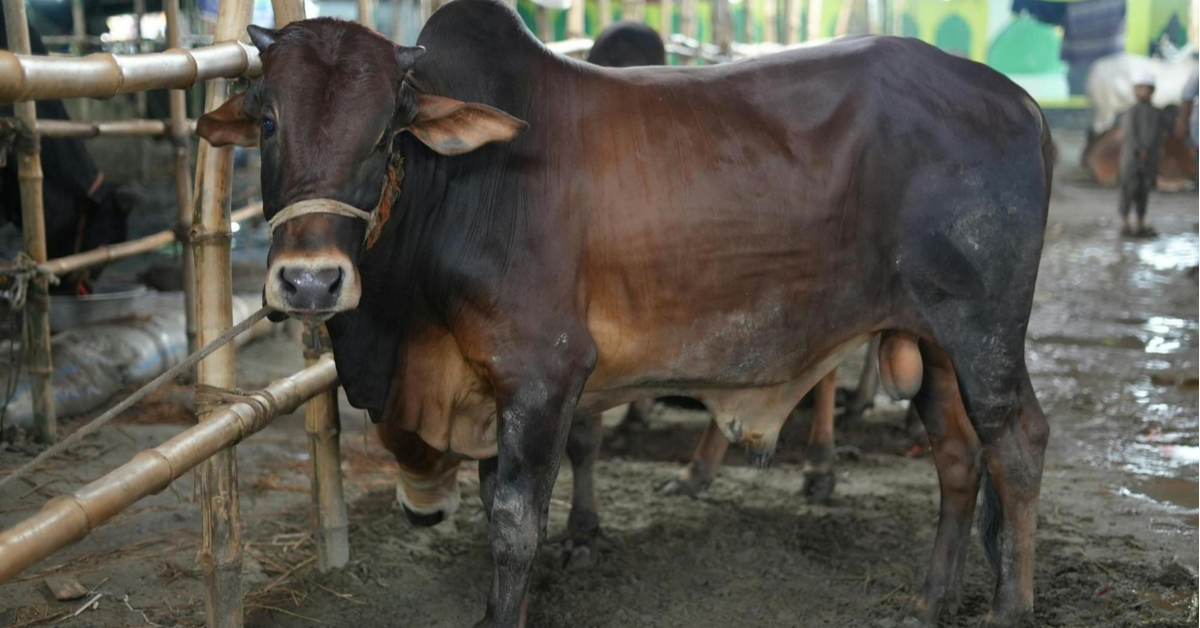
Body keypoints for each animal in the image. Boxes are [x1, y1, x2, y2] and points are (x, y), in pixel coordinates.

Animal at [196, 2, 1054, 627]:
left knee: (1016, 443)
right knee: (956, 455)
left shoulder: (545, 372)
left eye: (387, 133)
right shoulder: (494, 385)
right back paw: (929, 599)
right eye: (268, 122)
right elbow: (493, 505)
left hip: (982, 334)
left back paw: (1010, 608)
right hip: (931, 340)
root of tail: (1017, 99)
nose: (310, 282)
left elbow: (515, 523)